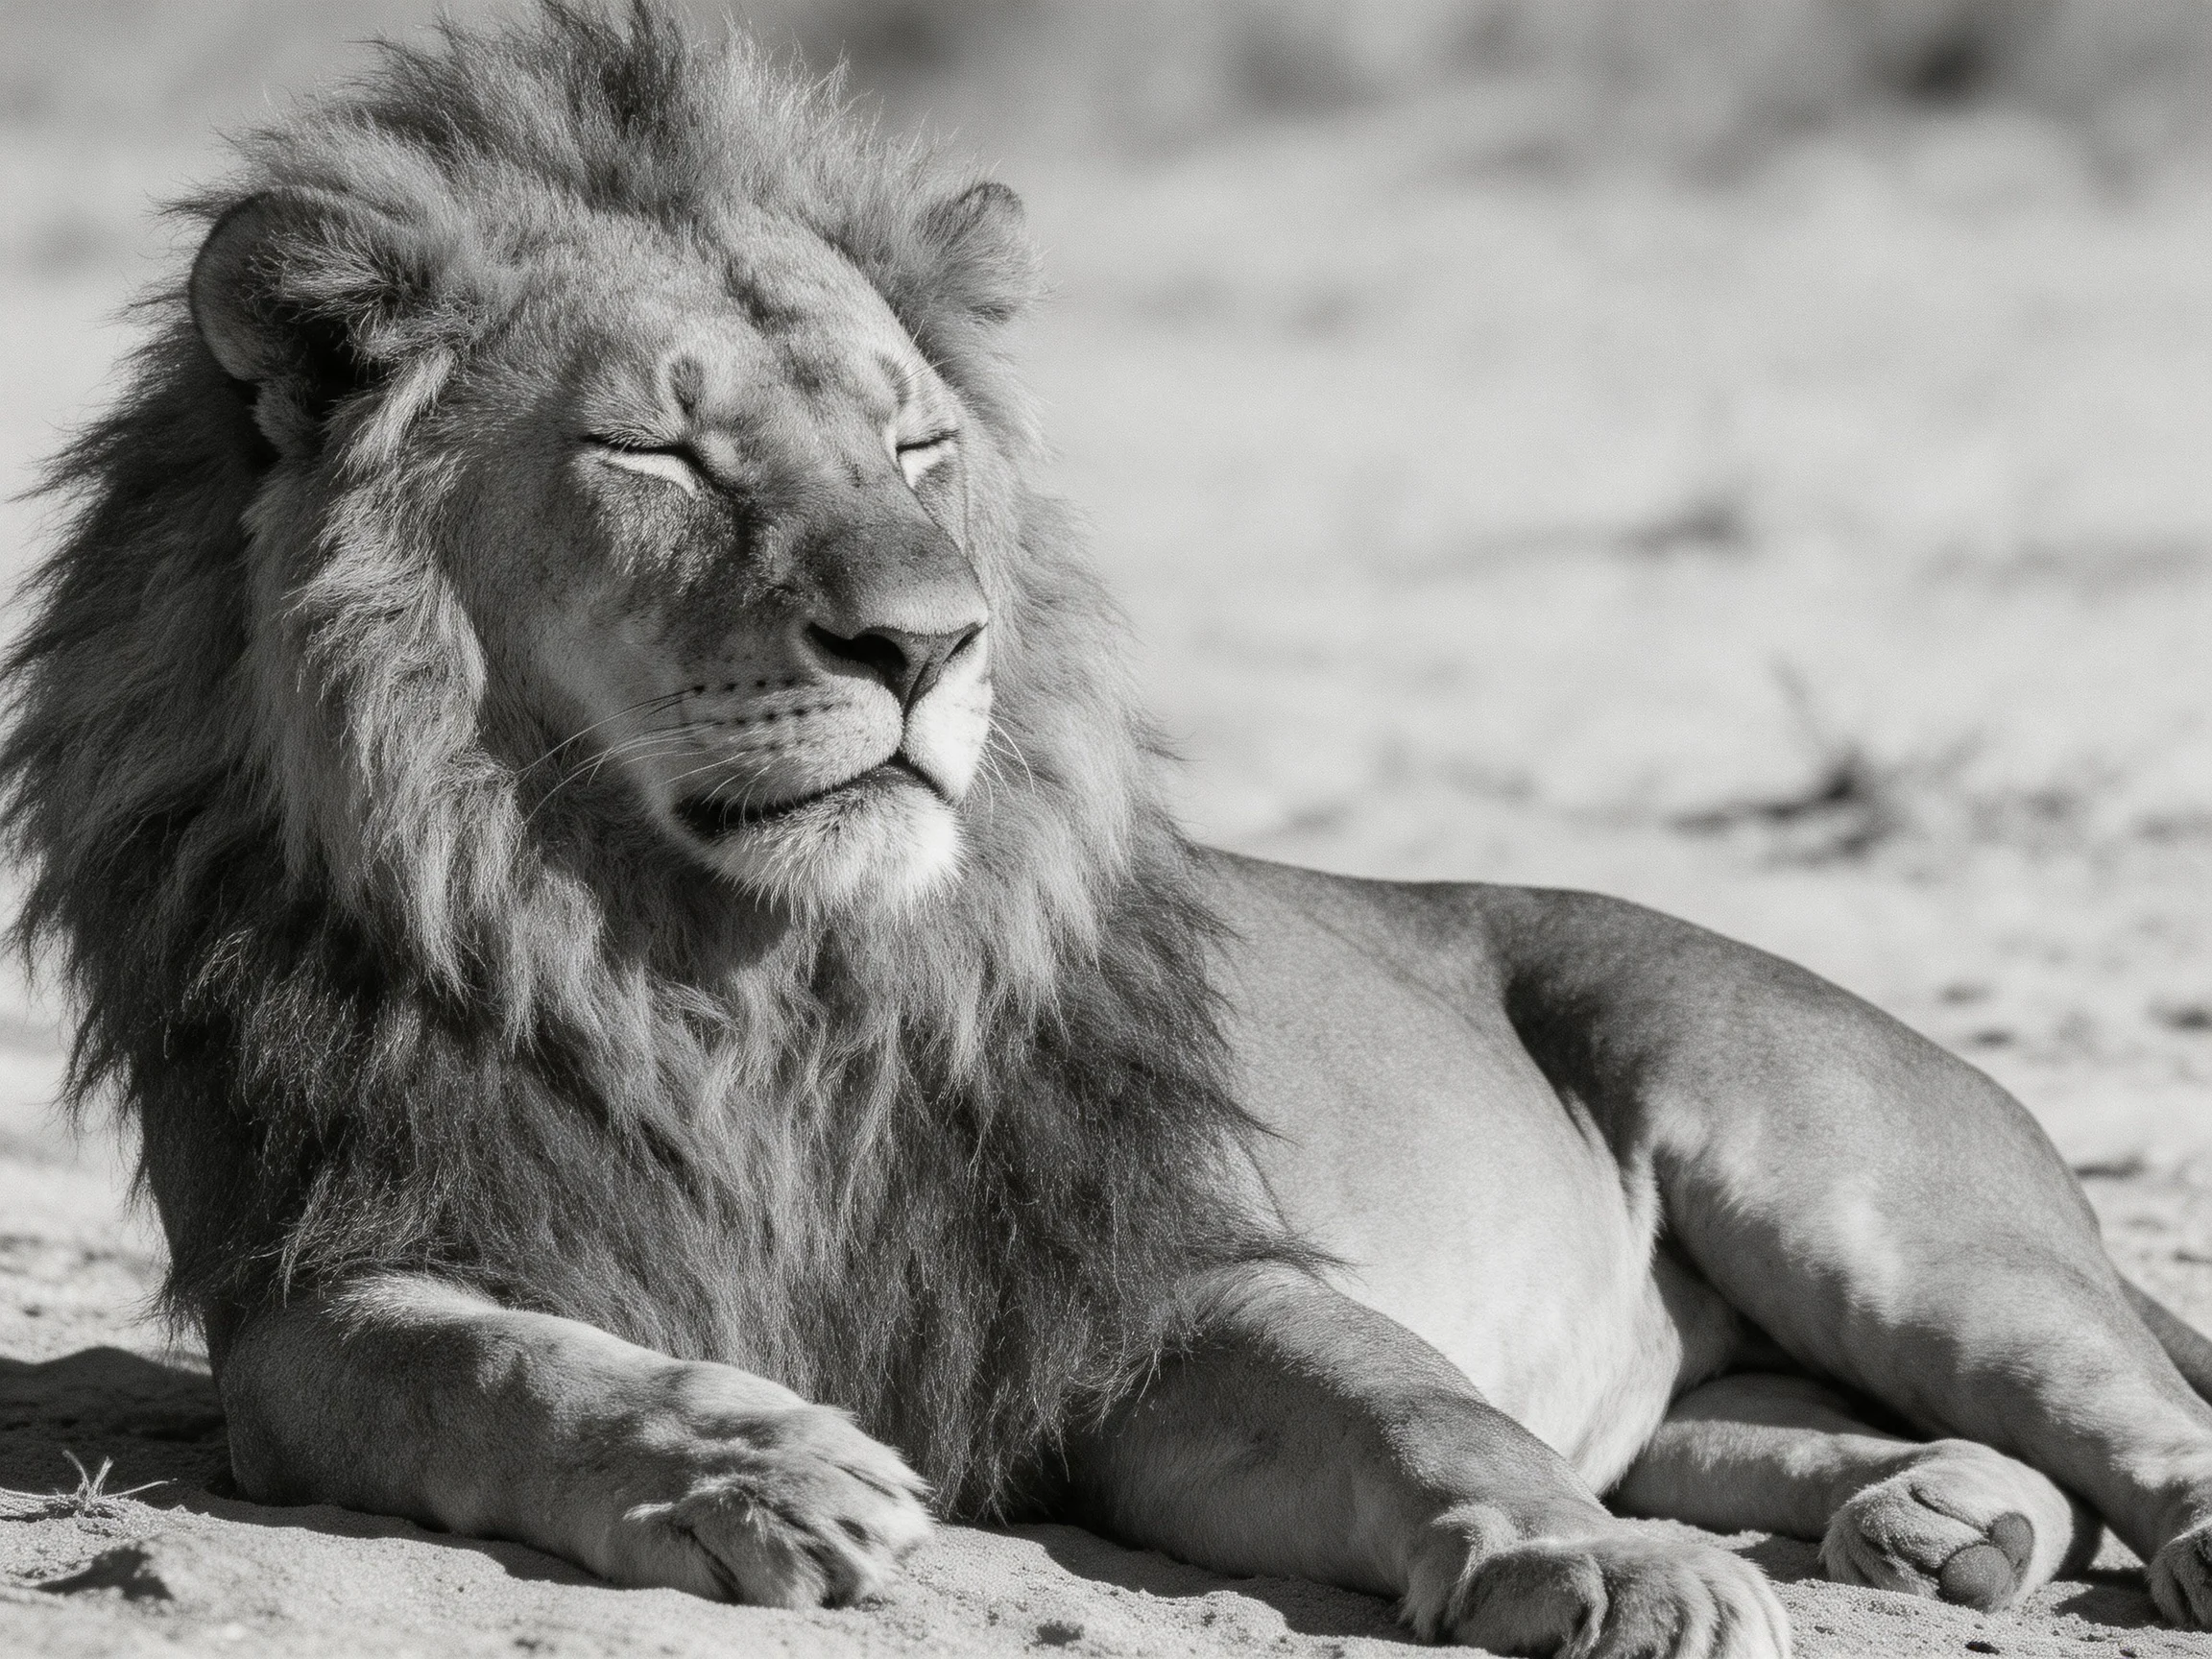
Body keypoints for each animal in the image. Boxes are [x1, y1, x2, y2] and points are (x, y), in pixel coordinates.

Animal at [6, 6, 2212, 1654]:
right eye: (651, 447)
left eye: (915, 443)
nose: (927, 641)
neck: (726, 973)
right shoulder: (324, 1280)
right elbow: (498, 1368)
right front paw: (753, 1462)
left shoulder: (1138, 1282)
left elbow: (1421, 1405)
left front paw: (1592, 1564)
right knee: (1806, 1426)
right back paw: (1942, 1519)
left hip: (1869, 1204)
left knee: (2137, 1413)